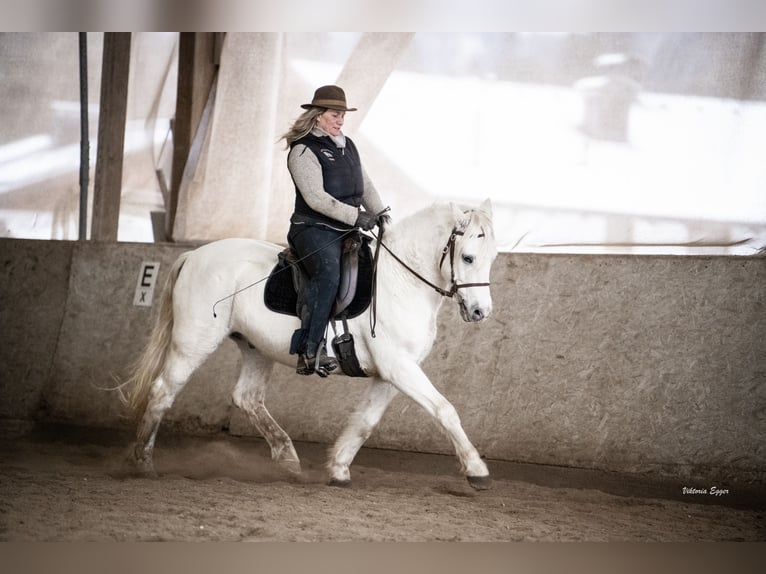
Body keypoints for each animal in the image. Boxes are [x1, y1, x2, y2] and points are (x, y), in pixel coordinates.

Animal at [124, 199, 498, 489]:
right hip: (193, 343)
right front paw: (476, 470)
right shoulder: (398, 367)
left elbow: (365, 423)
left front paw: (339, 469)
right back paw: (143, 464)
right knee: (162, 391)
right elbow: (445, 410)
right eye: (467, 258)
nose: (481, 312)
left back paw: (288, 458)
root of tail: (194, 255)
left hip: (256, 348)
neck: (401, 281)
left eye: (492, 257)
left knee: (247, 398)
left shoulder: (392, 373)